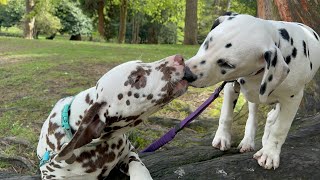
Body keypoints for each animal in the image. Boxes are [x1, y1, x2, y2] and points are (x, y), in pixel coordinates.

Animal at [185, 13, 320, 170]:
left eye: (228, 64)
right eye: (207, 43)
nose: (186, 74)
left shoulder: (293, 99)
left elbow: (280, 128)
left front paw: (270, 153)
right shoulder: (231, 85)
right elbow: (226, 116)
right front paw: (222, 137)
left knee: (271, 118)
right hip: (253, 98)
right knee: (254, 117)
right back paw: (248, 141)